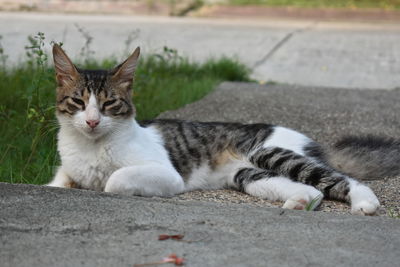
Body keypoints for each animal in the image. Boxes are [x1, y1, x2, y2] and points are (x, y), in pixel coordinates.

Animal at [47, 44, 384, 216]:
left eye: (109, 104)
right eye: (78, 102)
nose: (92, 121)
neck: (91, 147)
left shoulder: (166, 174)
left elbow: (113, 181)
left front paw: (108, 185)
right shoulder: (67, 171)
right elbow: (58, 183)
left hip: (268, 152)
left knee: (343, 180)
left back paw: (365, 204)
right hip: (249, 176)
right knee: (315, 190)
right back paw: (300, 203)